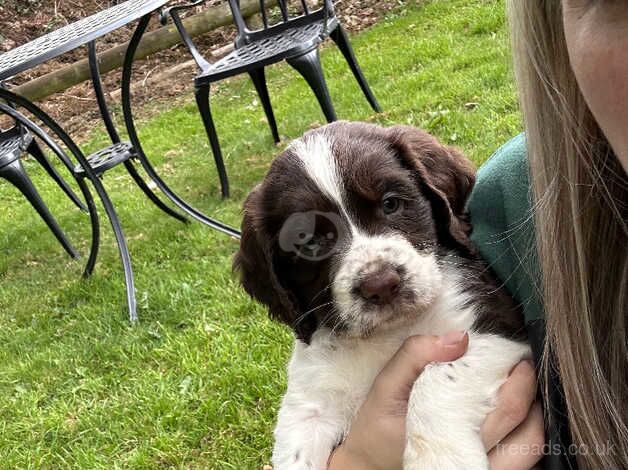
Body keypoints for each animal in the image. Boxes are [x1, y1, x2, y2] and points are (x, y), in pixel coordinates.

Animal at [233, 122, 528, 470]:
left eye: (390, 204)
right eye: (309, 242)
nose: (381, 284)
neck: (387, 334)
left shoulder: (499, 328)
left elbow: (436, 376)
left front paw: (439, 461)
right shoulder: (311, 400)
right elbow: (294, 451)